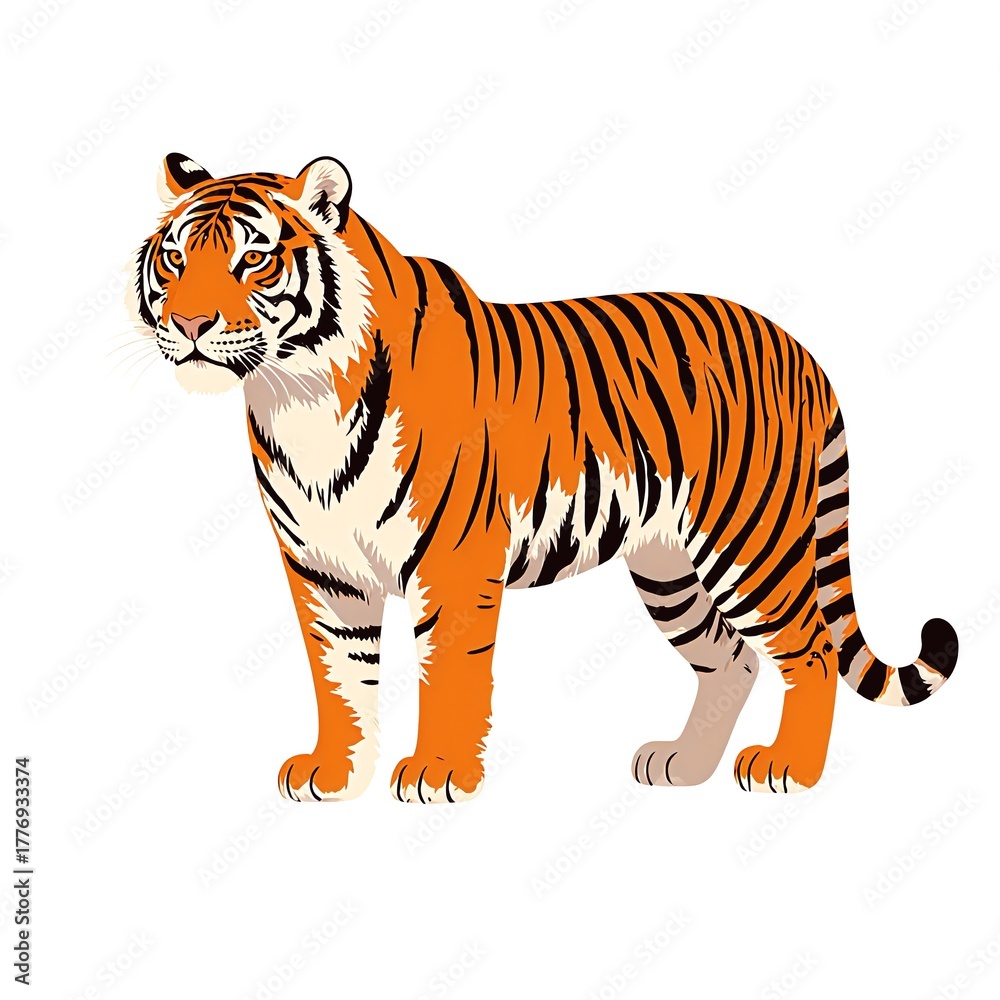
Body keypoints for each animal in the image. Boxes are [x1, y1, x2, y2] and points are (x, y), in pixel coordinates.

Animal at [126, 153, 959, 802]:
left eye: (253, 260)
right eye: (175, 259)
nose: (190, 325)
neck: (296, 394)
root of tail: (798, 348)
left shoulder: (454, 562)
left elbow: (448, 673)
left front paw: (438, 773)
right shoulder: (322, 570)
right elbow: (338, 676)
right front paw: (335, 773)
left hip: (751, 541)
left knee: (809, 651)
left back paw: (791, 768)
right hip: (667, 565)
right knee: (732, 657)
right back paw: (684, 766)